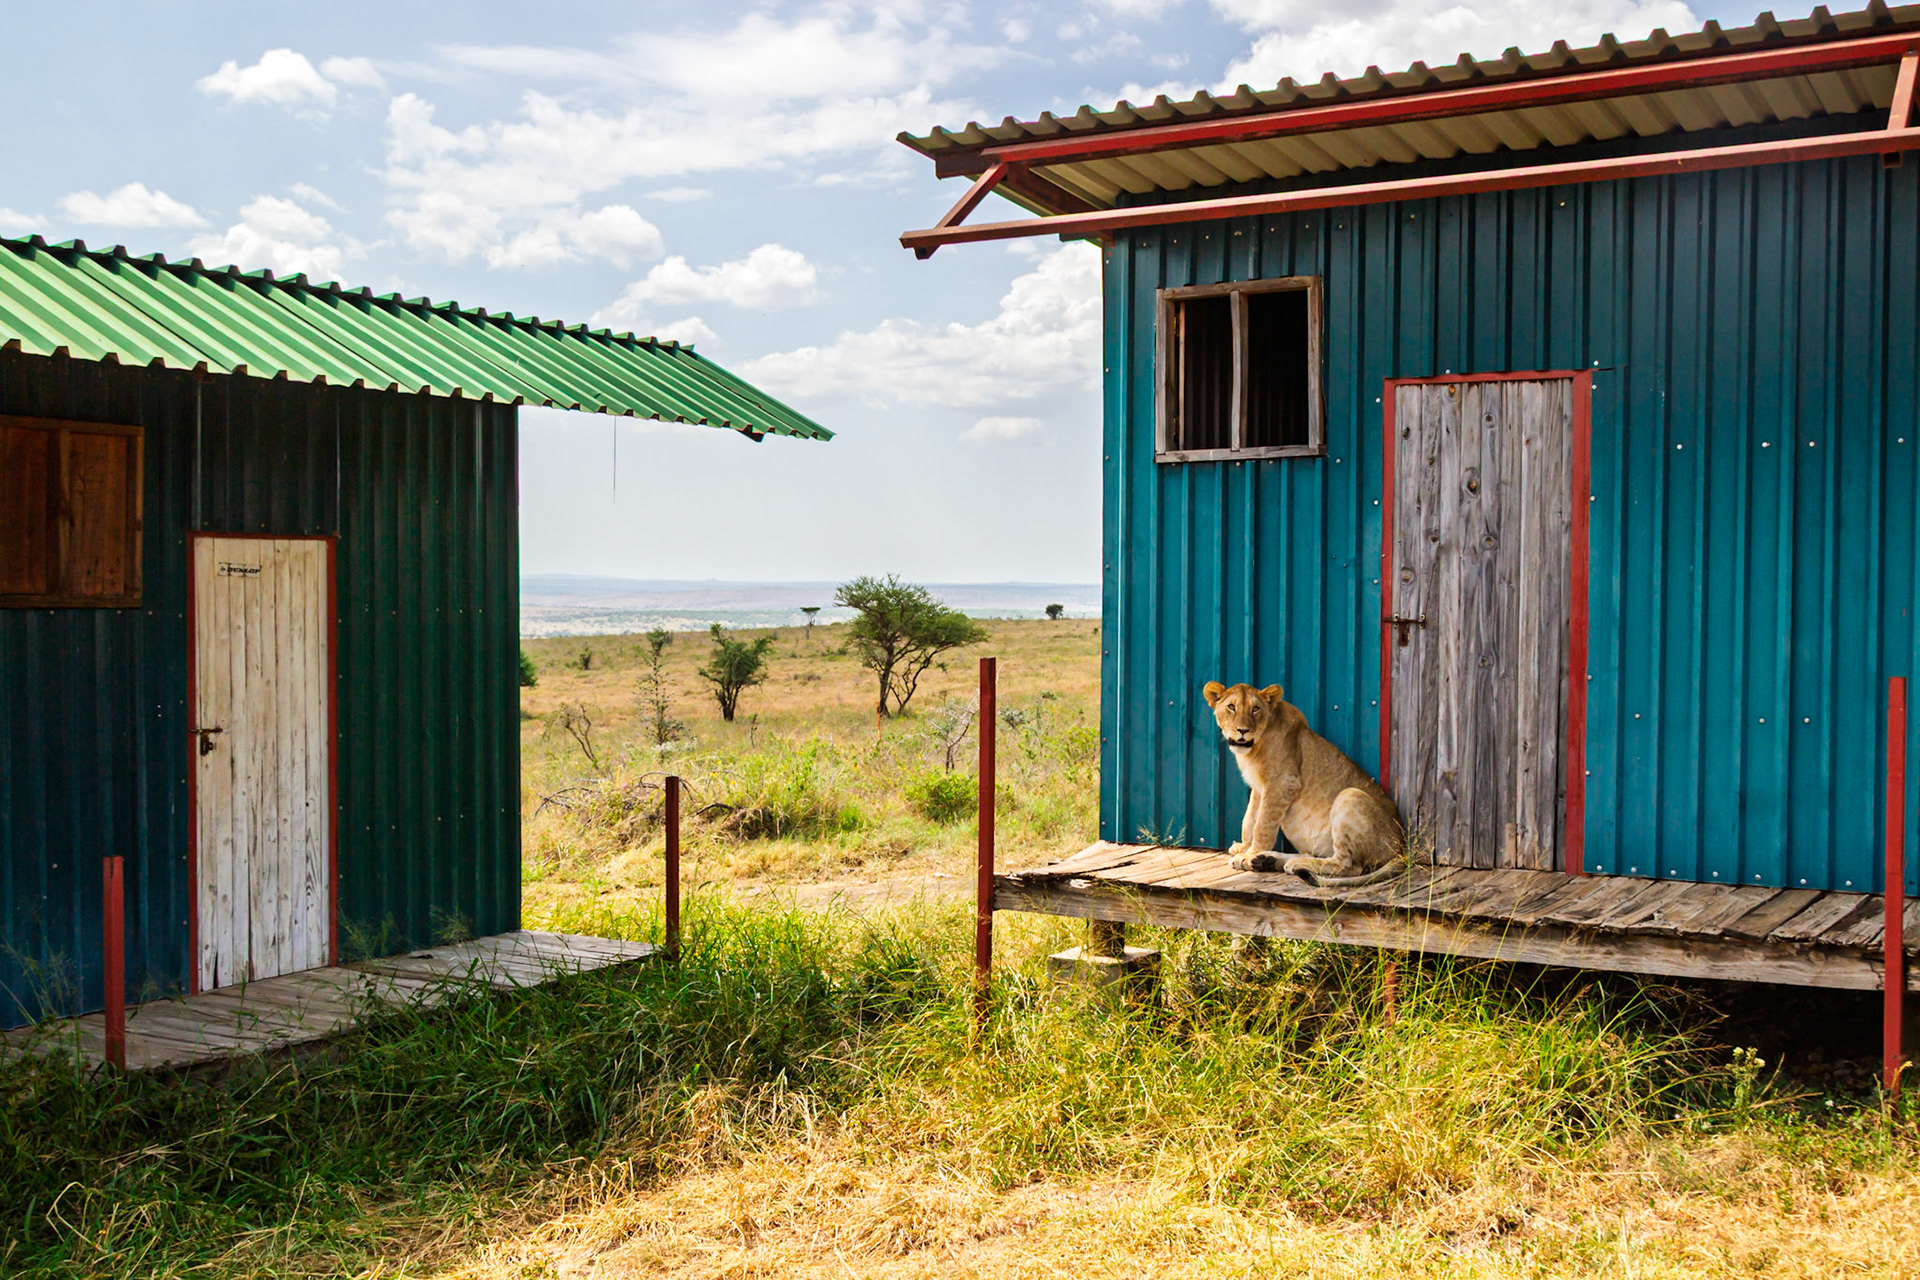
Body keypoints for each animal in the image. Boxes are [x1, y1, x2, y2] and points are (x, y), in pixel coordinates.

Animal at [1203, 681, 1406, 886]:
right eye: (1231, 707)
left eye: (1255, 709)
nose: (1243, 731)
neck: (1253, 749)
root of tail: (1401, 848)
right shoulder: (1259, 788)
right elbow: (1249, 819)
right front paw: (1244, 848)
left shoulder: (1282, 782)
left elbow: (1262, 825)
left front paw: (1249, 855)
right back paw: (1270, 860)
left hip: (1349, 794)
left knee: (1349, 865)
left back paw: (1289, 862)